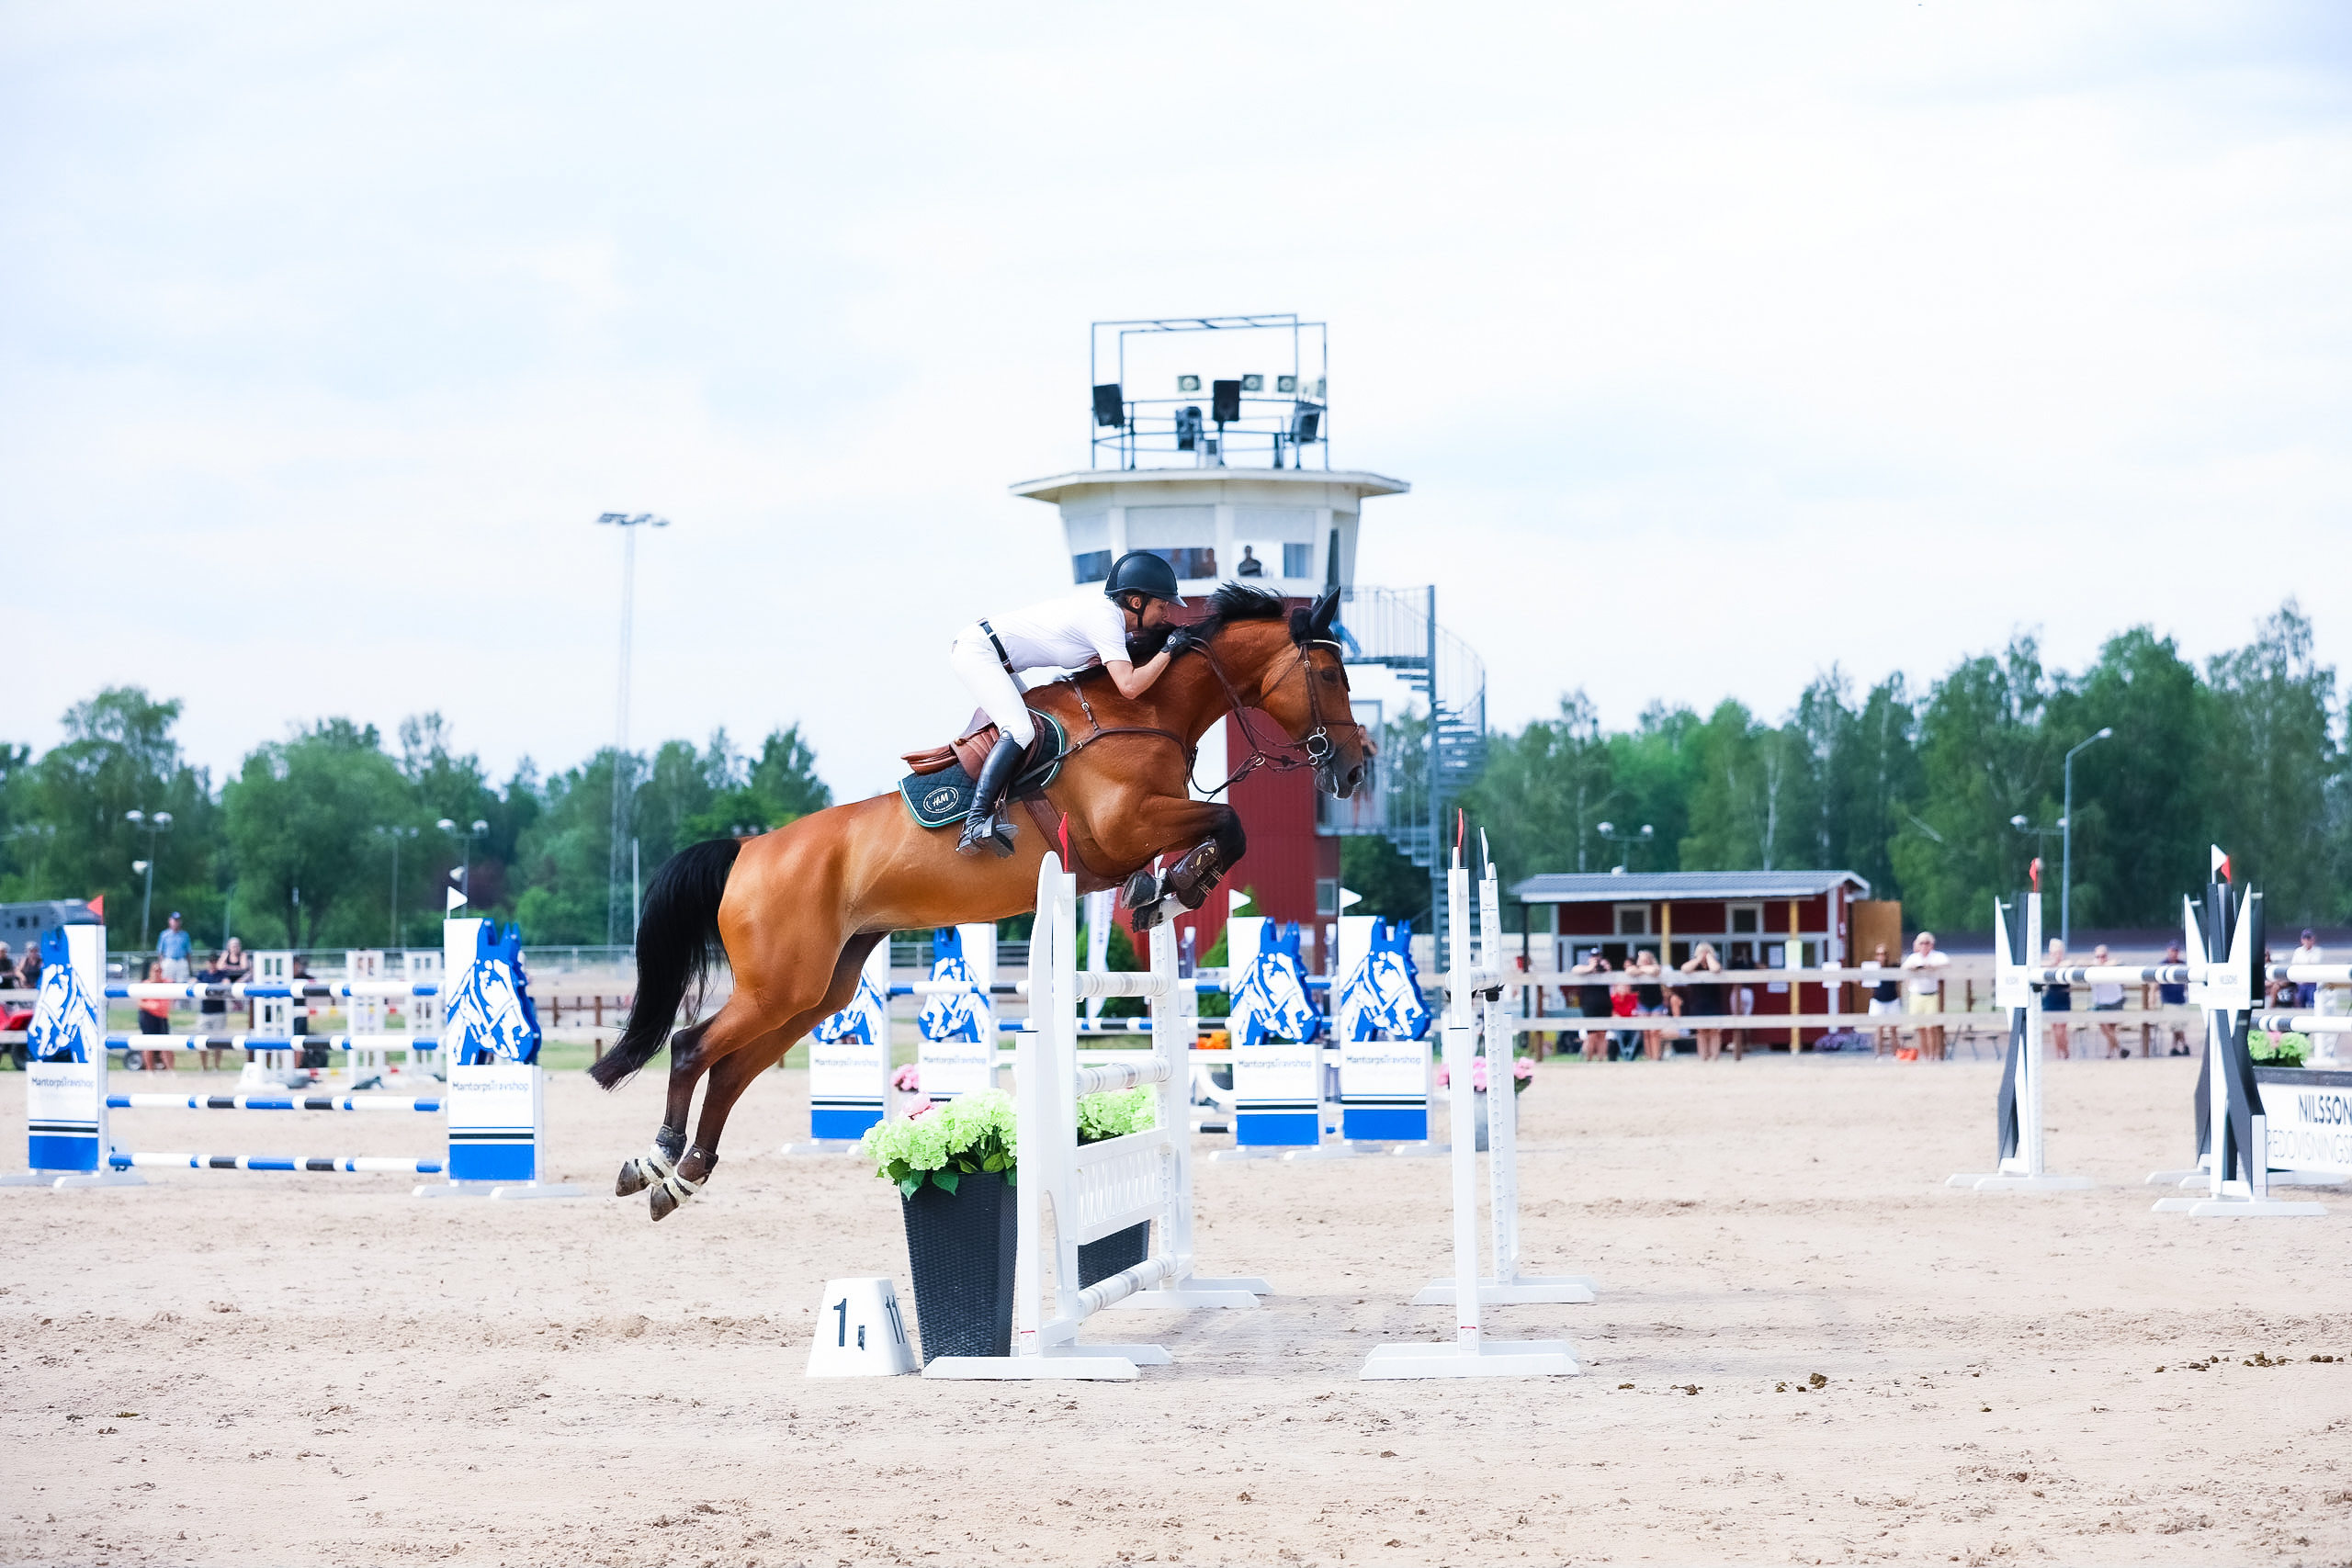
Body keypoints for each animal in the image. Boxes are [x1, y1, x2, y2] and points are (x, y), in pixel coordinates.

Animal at [581, 582, 1374, 1222]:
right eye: (1331, 672)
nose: (1355, 767)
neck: (1145, 708)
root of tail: (748, 851)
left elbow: (1219, 833)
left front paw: (1168, 889)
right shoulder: (1127, 826)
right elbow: (1228, 822)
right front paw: (1174, 885)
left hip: (816, 991)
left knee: (729, 1070)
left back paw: (680, 1178)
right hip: (780, 985)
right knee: (692, 1047)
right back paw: (655, 1158)